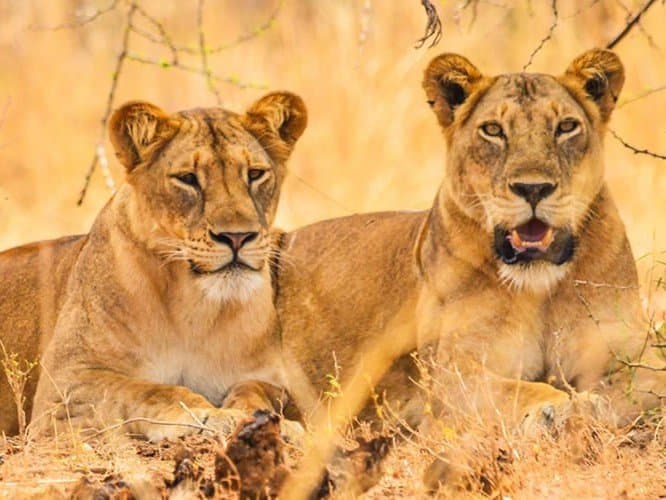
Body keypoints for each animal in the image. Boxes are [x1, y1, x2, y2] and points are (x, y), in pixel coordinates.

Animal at [0, 91, 307, 441]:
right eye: (187, 179)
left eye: (255, 174)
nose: (237, 236)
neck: (195, 308)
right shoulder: (63, 389)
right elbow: (145, 390)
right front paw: (206, 415)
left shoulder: (269, 378)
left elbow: (254, 390)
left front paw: (272, 422)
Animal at [276, 48, 665, 448]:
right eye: (493, 130)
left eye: (566, 127)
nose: (533, 188)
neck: (539, 287)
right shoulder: (452, 376)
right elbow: (518, 390)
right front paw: (558, 409)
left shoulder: (633, 354)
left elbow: (640, 386)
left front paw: (589, 405)